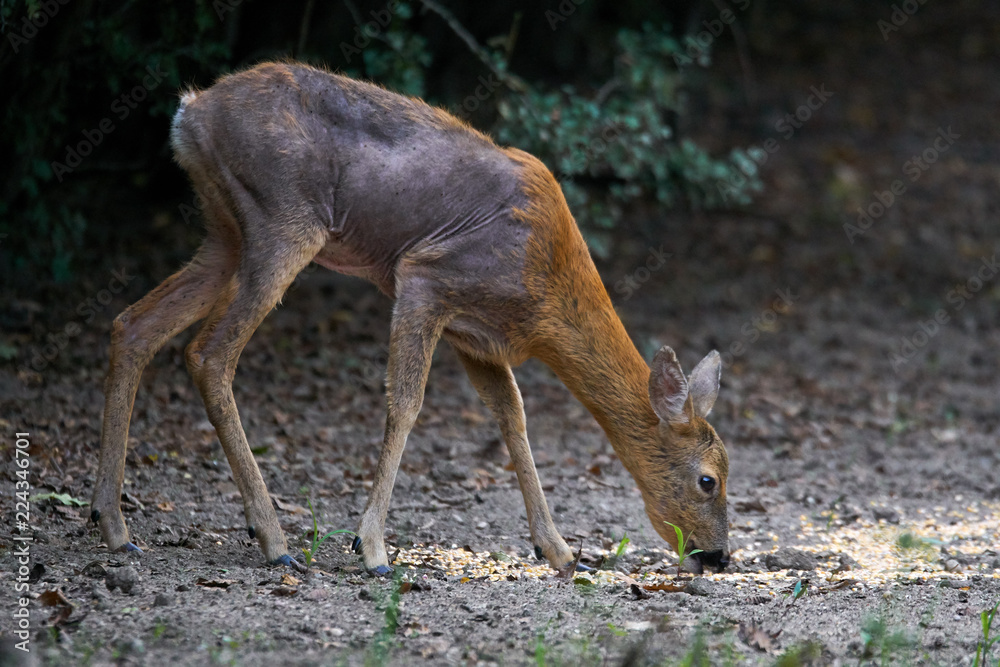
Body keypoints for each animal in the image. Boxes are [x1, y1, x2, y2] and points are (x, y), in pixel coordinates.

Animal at [90, 62, 730, 576]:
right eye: (709, 479)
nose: (719, 556)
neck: (544, 296)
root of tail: (190, 111)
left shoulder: (479, 339)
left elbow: (513, 418)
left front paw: (559, 551)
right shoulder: (425, 277)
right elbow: (406, 404)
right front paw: (371, 548)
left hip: (226, 231)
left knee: (134, 325)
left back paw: (115, 527)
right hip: (283, 219)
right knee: (208, 353)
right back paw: (274, 540)